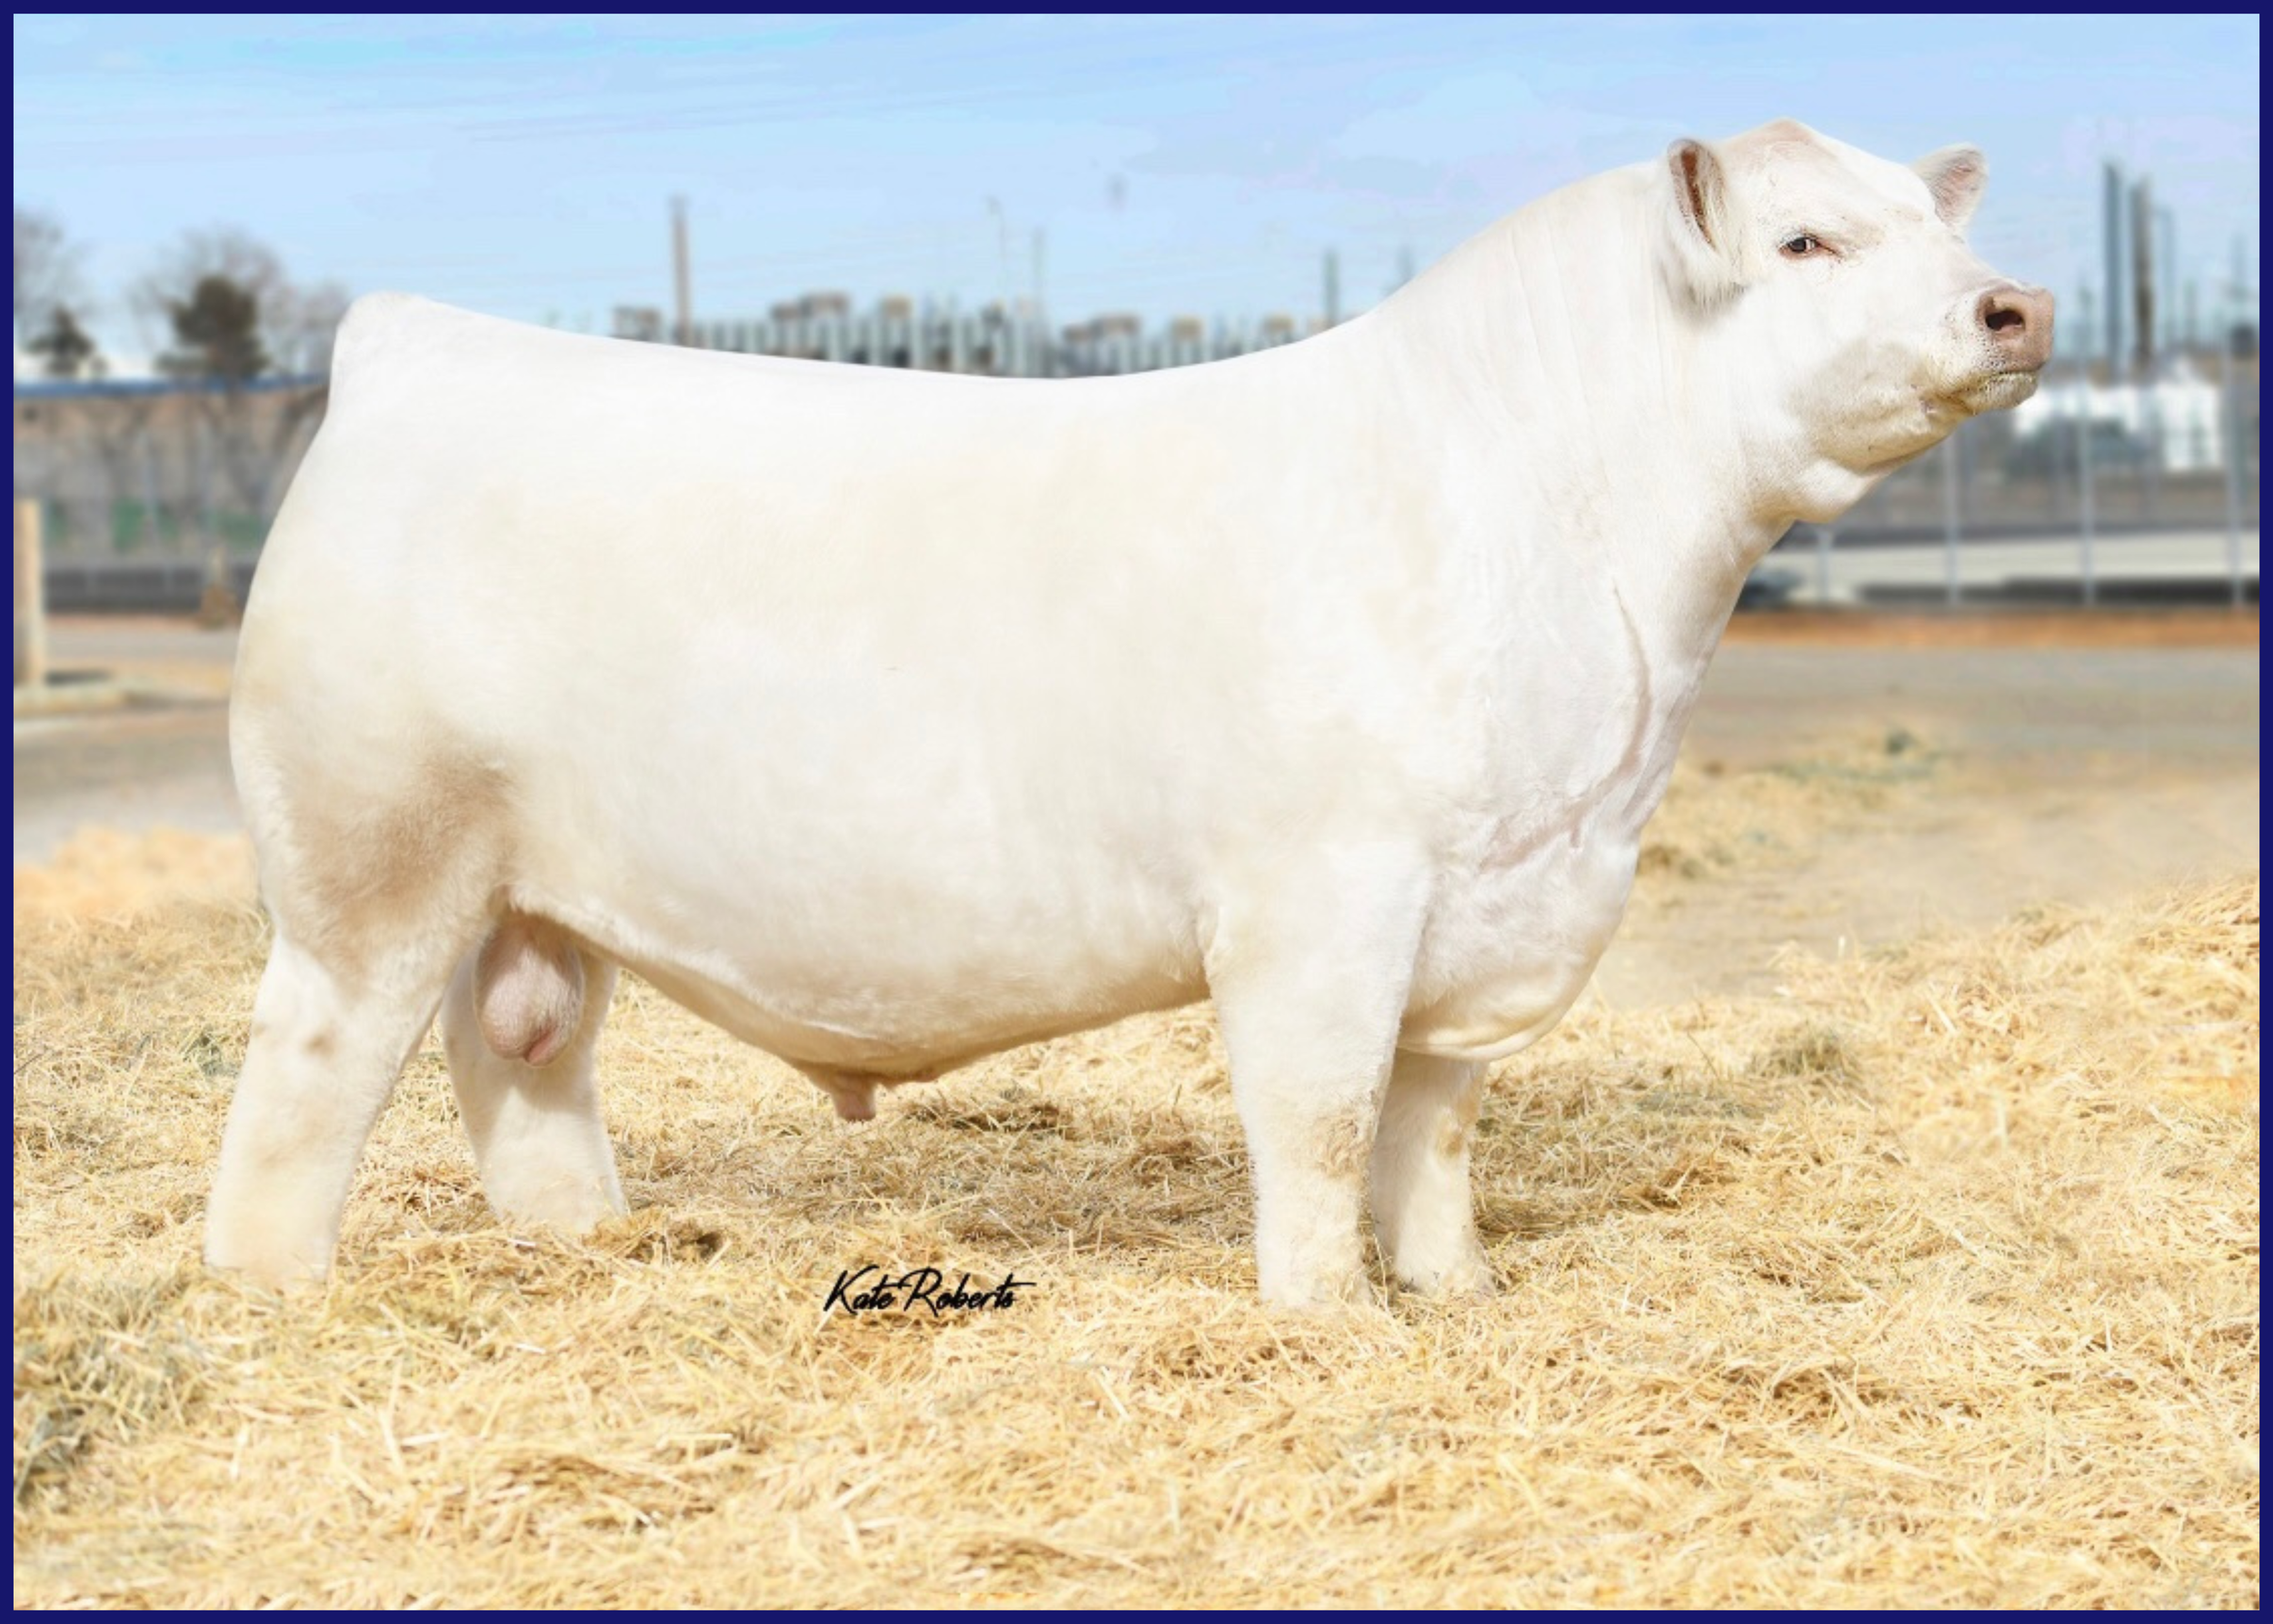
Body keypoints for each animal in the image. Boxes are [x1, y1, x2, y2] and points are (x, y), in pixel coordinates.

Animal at [205, 120, 2051, 1307]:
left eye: (1943, 227)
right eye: (1805, 240)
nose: (2014, 303)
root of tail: (415, 347)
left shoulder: (1504, 900)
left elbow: (1436, 1122)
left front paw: (1455, 1292)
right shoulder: (1322, 894)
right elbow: (1319, 1119)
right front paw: (1323, 1315)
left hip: (526, 889)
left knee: (522, 1060)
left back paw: (591, 1251)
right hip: (370, 857)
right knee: (307, 1082)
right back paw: (274, 1302)